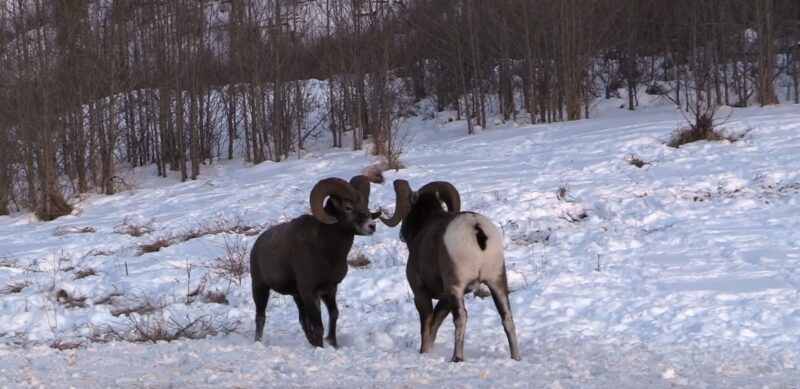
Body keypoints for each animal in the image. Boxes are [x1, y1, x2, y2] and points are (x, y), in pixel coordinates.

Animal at [248, 175, 380, 346]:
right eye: (348, 207)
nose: (371, 226)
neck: (326, 252)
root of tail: (257, 245)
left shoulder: (329, 290)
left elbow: (333, 315)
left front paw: (332, 344)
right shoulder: (311, 293)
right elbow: (318, 327)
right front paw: (321, 347)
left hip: (297, 296)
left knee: (302, 320)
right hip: (260, 288)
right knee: (260, 317)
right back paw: (258, 342)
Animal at [380, 180, 520, 360]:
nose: (401, 235)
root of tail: (477, 229)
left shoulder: (421, 294)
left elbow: (426, 326)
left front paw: (424, 352)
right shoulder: (445, 298)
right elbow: (435, 323)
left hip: (456, 287)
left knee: (461, 318)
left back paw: (456, 358)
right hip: (497, 282)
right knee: (507, 318)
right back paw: (516, 357)